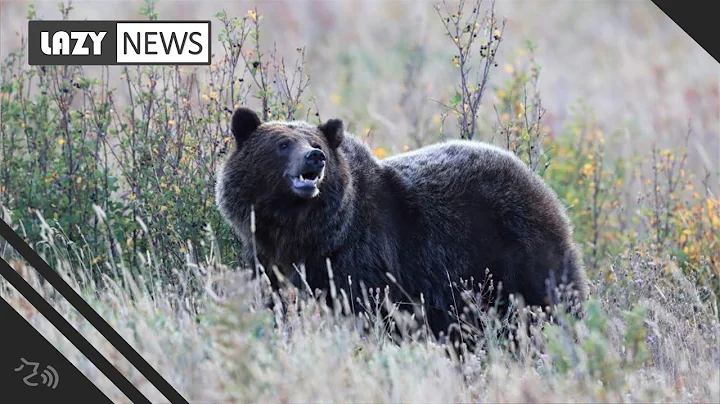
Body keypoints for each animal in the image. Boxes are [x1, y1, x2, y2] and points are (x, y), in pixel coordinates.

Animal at [215, 106, 589, 350]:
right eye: (282, 144)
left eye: (315, 143)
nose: (314, 158)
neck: (303, 232)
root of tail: (540, 184)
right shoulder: (265, 259)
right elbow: (273, 301)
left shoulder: (363, 257)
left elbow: (365, 309)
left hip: (518, 256)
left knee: (550, 305)